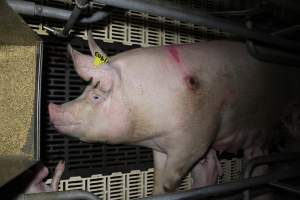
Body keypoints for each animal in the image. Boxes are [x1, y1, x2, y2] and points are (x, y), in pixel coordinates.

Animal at [48, 30, 298, 194]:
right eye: (84, 90)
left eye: (96, 96)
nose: (51, 108)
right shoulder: (161, 149)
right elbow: (159, 178)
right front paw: (157, 191)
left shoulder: (197, 137)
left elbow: (171, 180)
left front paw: (170, 189)